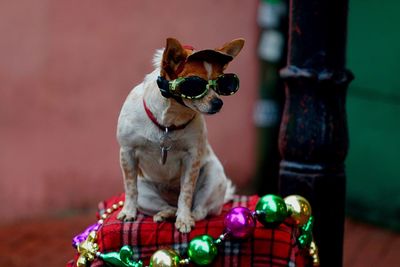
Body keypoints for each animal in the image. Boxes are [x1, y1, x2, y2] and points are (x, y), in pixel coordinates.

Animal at [116, 36, 244, 233]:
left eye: (222, 83)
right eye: (194, 84)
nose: (218, 103)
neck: (169, 122)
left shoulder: (192, 159)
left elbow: (186, 192)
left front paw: (184, 219)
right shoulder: (127, 152)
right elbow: (130, 188)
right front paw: (128, 212)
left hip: (213, 176)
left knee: (199, 210)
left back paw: (187, 215)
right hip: (146, 193)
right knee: (167, 206)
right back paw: (163, 214)